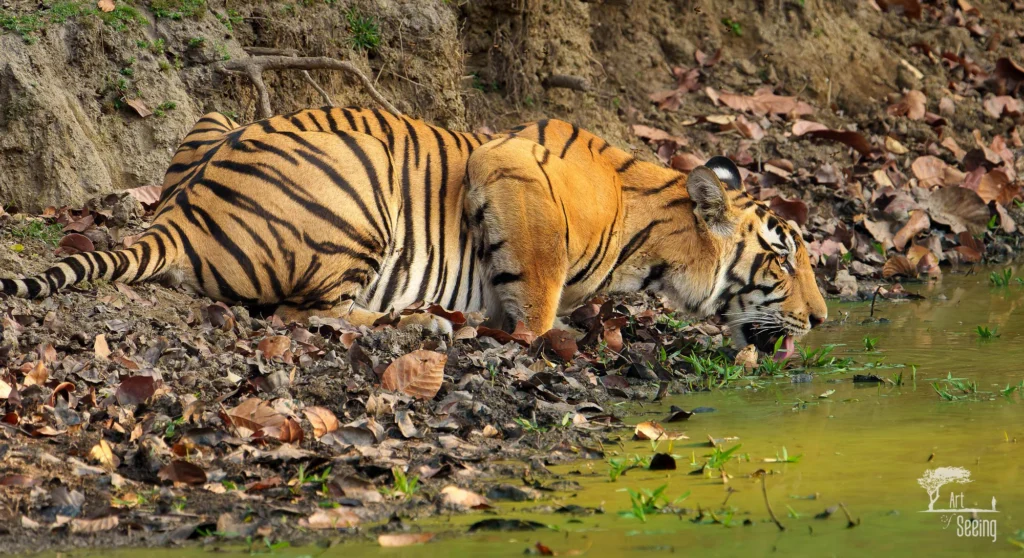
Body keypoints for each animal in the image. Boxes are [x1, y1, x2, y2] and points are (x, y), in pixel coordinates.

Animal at [1, 108, 827, 355]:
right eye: (782, 258)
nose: (822, 319)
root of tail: (182, 213)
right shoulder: (510, 168)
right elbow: (538, 288)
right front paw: (546, 334)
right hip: (357, 198)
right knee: (303, 313)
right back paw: (422, 322)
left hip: (210, 119)